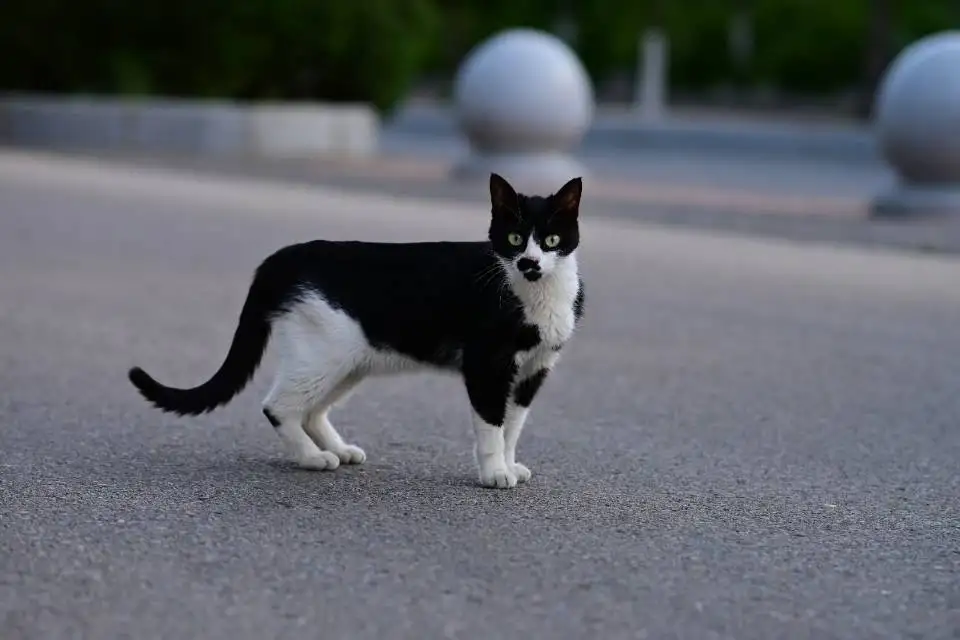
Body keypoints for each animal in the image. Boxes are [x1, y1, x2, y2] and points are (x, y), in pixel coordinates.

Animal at [128, 172, 584, 488]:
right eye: (514, 238)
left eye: (551, 240)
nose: (529, 263)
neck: (535, 294)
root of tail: (281, 258)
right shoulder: (487, 365)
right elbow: (492, 425)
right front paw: (494, 473)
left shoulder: (533, 371)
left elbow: (513, 425)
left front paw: (509, 464)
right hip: (323, 355)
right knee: (278, 406)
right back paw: (311, 458)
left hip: (350, 361)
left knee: (312, 410)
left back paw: (337, 450)